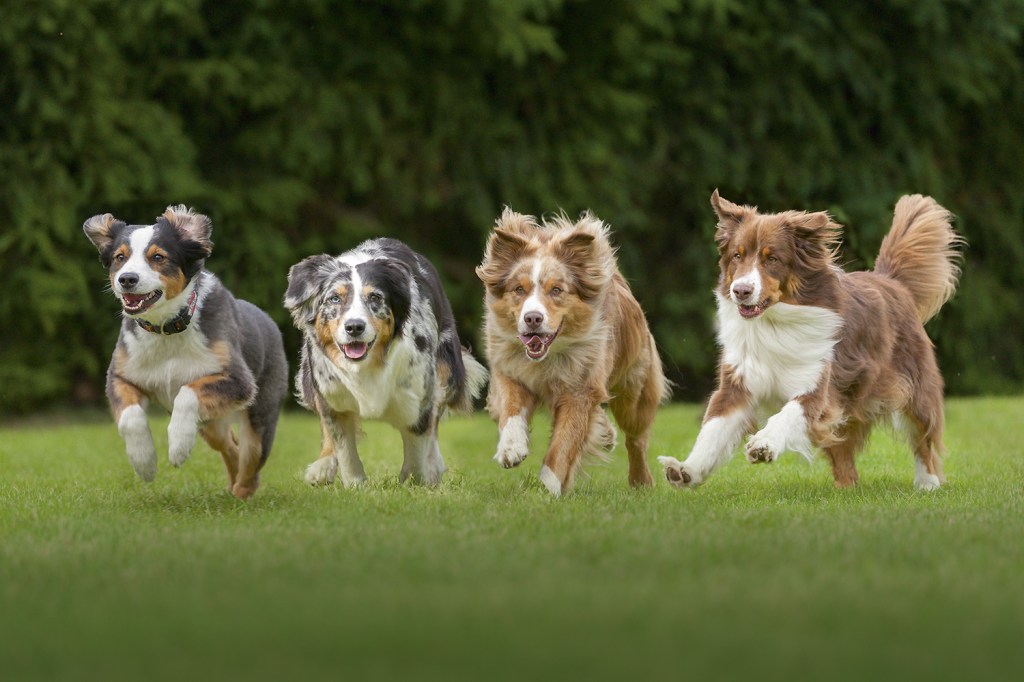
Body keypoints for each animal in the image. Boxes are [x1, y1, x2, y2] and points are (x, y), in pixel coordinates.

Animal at [83, 204, 288, 497]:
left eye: (158, 257)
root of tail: (268, 320)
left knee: (251, 457)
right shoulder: (121, 375)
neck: (166, 329)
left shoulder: (239, 381)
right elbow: (131, 417)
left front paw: (178, 448)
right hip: (211, 424)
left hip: (260, 412)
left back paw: (241, 492)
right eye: (120, 257)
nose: (127, 279)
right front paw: (144, 463)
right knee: (230, 445)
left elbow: (187, 393)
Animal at [282, 236, 485, 485]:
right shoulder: (331, 393)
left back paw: (433, 464)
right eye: (334, 298)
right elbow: (343, 445)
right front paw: (355, 484)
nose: (354, 327)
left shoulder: (418, 394)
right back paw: (323, 466)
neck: (367, 365)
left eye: (375, 297)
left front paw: (415, 480)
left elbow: (418, 442)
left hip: (447, 369)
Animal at [659, 189, 962, 489]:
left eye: (772, 259)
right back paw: (847, 488)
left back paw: (927, 482)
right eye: (737, 255)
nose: (740, 290)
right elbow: (714, 427)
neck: (772, 324)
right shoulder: (738, 381)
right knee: (843, 451)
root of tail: (893, 282)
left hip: (913, 384)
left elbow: (789, 413)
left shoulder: (817, 382)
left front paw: (764, 444)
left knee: (922, 434)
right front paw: (686, 470)